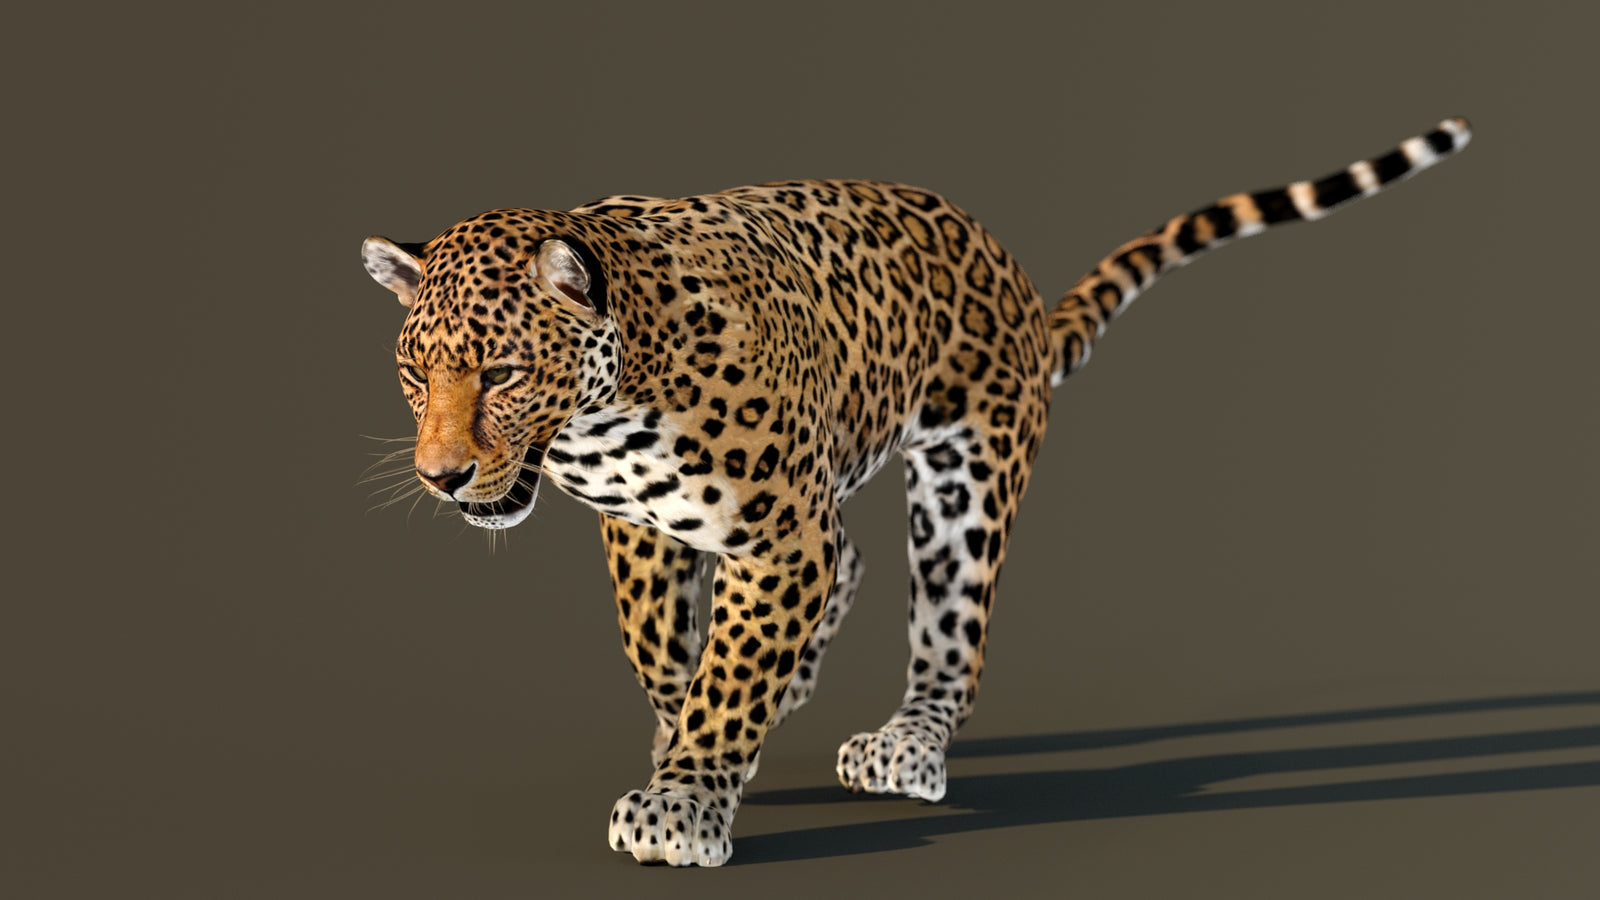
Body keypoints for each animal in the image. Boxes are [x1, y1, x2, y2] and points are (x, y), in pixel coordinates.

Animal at [360, 118, 1471, 866]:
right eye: (415, 375)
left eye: (502, 374)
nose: (440, 476)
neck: (611, 401)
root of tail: (1009, 273)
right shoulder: (647, 526)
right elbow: (663, 647)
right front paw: (689, 743)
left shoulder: (776, 531)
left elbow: (728, 672)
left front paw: (683, 801)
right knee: (846, 563)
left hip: (963, 484)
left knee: (946, 638)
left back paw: (907, 743)